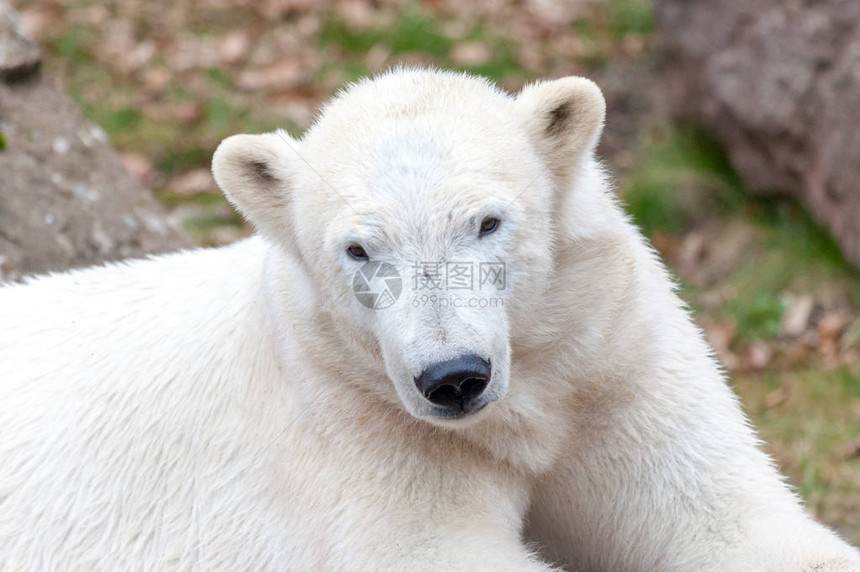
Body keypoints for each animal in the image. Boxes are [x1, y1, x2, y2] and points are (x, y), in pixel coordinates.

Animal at [0, 68, 856, 572]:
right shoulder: (363, 418)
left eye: (486, 222)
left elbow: (723, 523)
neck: (517, 414)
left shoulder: (609, 360)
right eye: (357, 248)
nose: (454, 378)